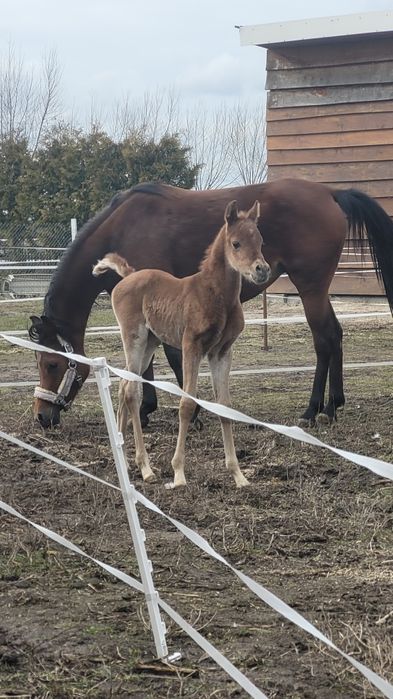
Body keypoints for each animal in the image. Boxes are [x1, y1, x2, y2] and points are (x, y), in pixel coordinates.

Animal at [29, 178, 392, 430]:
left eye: (52, 364)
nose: (42, 416)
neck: (120, 231)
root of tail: (330, 192)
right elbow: (147, 359)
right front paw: (145, 411)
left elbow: (173, 358)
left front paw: (192, 415)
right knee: (336, 335)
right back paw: (334, 405)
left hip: (311, 288)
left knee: (324, 340)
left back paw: (314, 410)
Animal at [92, 200, 270, 490]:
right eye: (236, 243)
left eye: (261, 241)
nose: (262, 270)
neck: (216, 296)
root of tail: (127, 276)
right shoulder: (191, 347)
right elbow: (186, 404)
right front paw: (178, 473)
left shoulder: (222, 352)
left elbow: (224, 407)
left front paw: (238, 475)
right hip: (134, 338)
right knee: (131, 391)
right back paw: (146, 468)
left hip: (150, 343)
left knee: (123, 385)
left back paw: (126, 461)